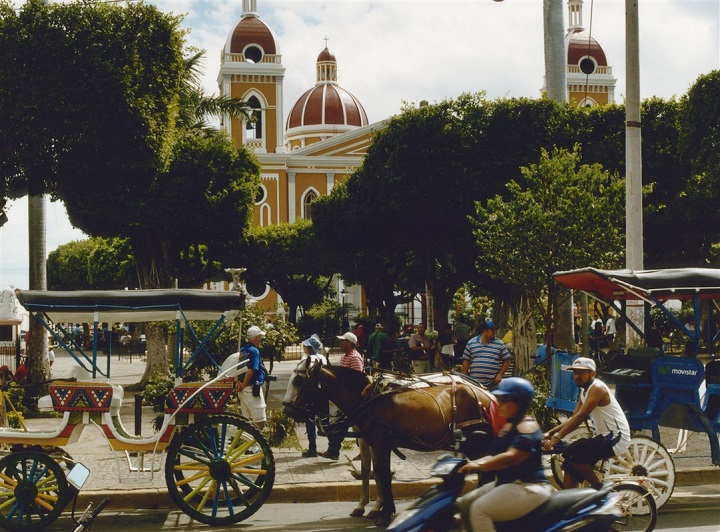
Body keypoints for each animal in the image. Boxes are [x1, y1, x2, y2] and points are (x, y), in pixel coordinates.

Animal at [284, 364, 498, 524]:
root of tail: (487, 395)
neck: (367, 397)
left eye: (300, 382)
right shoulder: (371, 442)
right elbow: (374, 472)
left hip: (477, 443)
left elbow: (383, 475)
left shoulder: (380, 444)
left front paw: (384, 513)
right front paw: (378, 509)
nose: (288, 411)